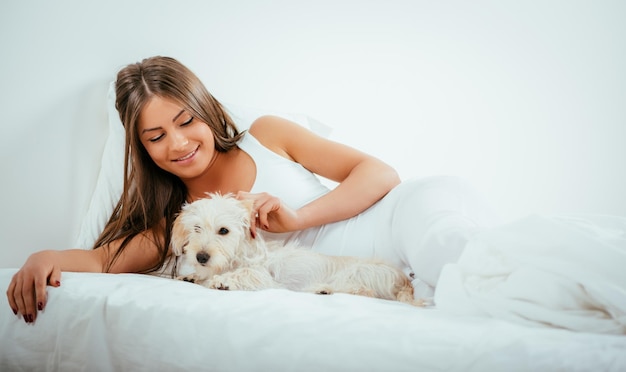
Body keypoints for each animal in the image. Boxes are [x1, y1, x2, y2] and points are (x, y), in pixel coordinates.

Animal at [171, 193, 422, 306]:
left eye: (223, 231)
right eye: (197, 228)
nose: (201, 257)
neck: (236, 255)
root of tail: (404, 280)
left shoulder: (263, 275)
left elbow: (244, 273)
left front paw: (223, 280)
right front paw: (192, 276)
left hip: (358, 273)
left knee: (365, 292)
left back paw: (323, 289)